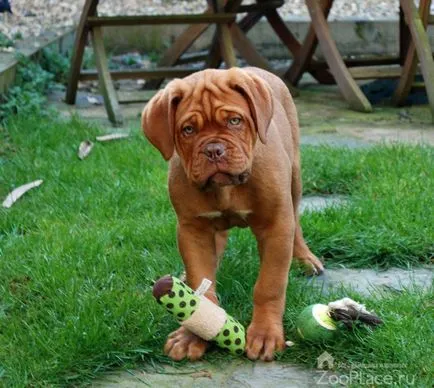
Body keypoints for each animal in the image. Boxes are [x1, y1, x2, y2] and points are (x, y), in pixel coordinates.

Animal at [142, 66, 322, 360]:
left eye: (235, 121)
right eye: (188, 129)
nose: (214, 150)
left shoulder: (276, 224)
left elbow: (269, 284)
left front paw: (265, 333)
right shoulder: (193, 229)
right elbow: (201, 285)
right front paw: (193, 333)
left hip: (295, 179)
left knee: (296, 220)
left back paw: (305, 259)